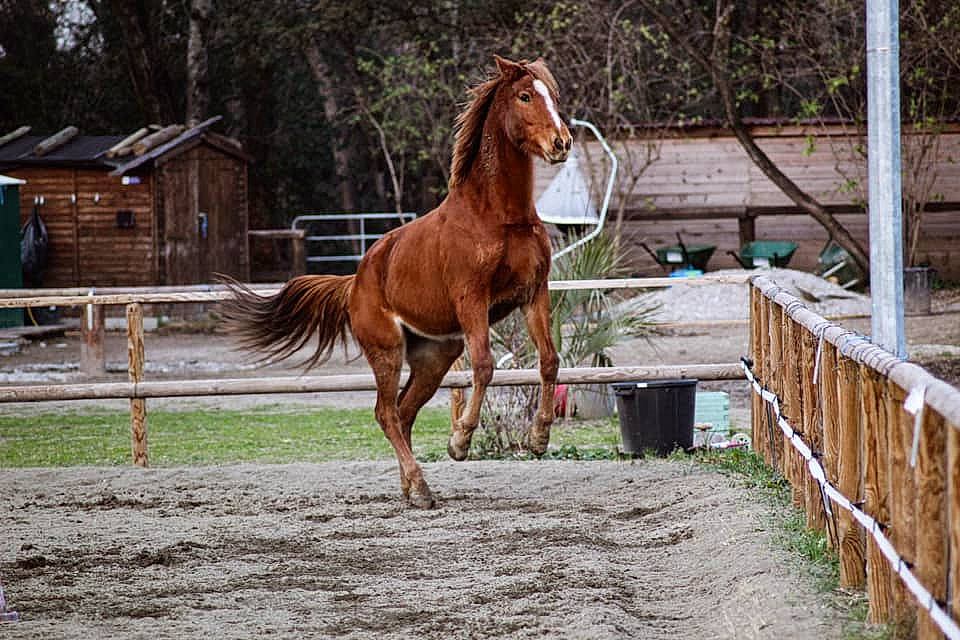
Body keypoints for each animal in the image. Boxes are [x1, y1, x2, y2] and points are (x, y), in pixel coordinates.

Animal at [221, 55, 572, 509]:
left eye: (553, 96)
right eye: (526, 96)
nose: (561, 142)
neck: (498, 217)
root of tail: (354, 282)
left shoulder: (534, 294)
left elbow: (549, 361)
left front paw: (538, 438)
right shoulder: (471, 299)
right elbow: (484, 365)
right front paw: (460, 441)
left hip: (434, 357)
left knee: (403, 413)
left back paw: (411, 487)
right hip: (386, 351)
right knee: (386, 413)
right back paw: (420, 488)